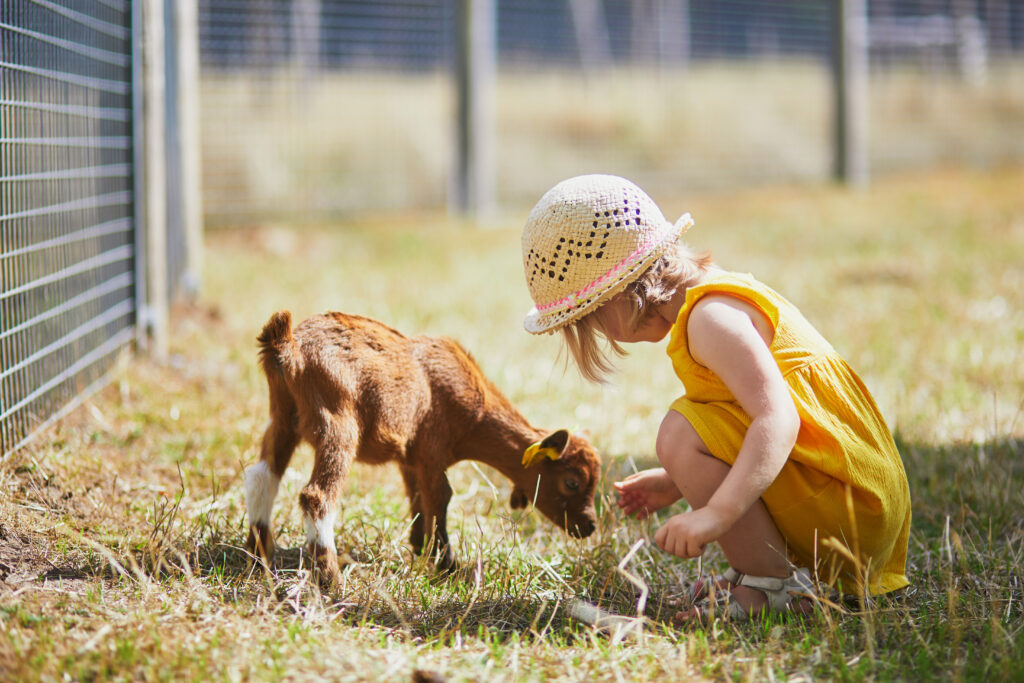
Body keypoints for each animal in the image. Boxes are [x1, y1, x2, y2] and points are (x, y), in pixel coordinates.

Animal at [244, 313, 602, 585]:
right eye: (571, 482)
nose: (589, 527)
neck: (475, 410)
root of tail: (288, 345)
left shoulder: (410, 457)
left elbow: (417, 498)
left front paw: (419, 549)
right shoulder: (432, 450)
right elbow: (440, 497)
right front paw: (447, 564)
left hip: (282, 416)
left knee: (262, 477)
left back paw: (258, 557)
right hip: (337, 420)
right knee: (317, 496)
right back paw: (331, 580)